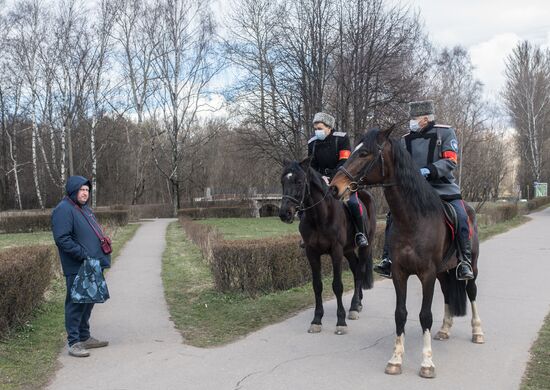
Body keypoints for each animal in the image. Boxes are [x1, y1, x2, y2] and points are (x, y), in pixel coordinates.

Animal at [280, 158, 380, 336]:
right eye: (282, 181)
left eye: (299, 181)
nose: (285, 213)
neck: (320, 216)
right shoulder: (312, 253)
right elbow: (317, 286)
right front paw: (316, 320)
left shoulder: (336, 252)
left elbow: (337, 286)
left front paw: (340, 322)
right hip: (348, 250)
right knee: (355, 269)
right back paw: (358, 303)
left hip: (364, 247)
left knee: (360, 272)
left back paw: (354, 307)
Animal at [330, 129, 486, 378]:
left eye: (365, 153)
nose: (335, 187)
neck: (414, 219)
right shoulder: (400, 273)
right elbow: (400, 313)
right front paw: (395, 359)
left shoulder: (427, 274)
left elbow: (425, 315)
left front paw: (427, 363)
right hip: (443, 271)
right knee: (448, 293)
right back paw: (445, 329)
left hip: (471, 267)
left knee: (471, 292)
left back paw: (477, 332)